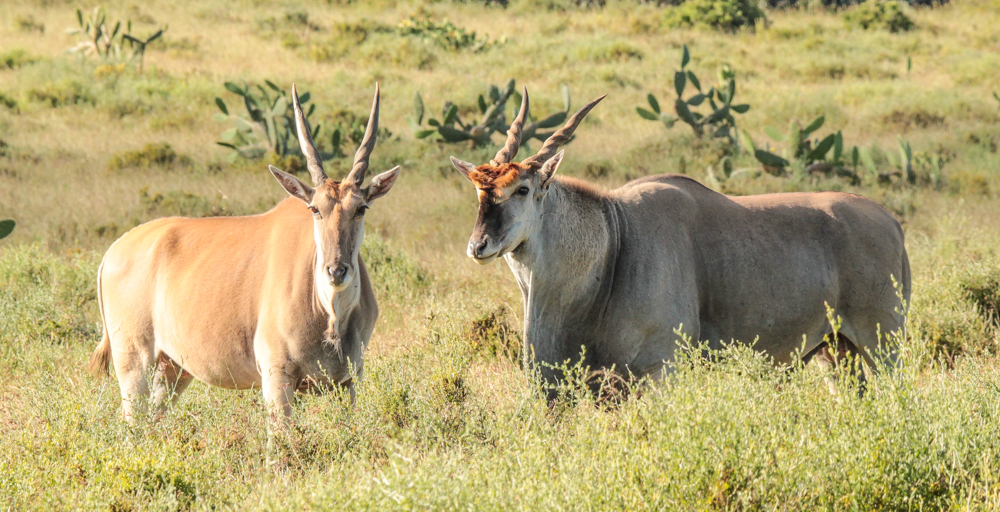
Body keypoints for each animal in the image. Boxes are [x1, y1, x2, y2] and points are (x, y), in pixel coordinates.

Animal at [86, 84, 398, 422]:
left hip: (173, 369)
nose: (336, 270)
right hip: (134, 363)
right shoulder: (277, 376)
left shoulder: (347, 383)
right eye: (315, 209)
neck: (331, 314)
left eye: (361, 208)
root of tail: (113, 251)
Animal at [450, 89, 912, 396]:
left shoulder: (661, 371)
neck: (614, 241)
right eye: (478, 192)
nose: (478, 246)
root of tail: (890, 221)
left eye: (522, 189)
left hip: (883, 342)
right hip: (837, 350)